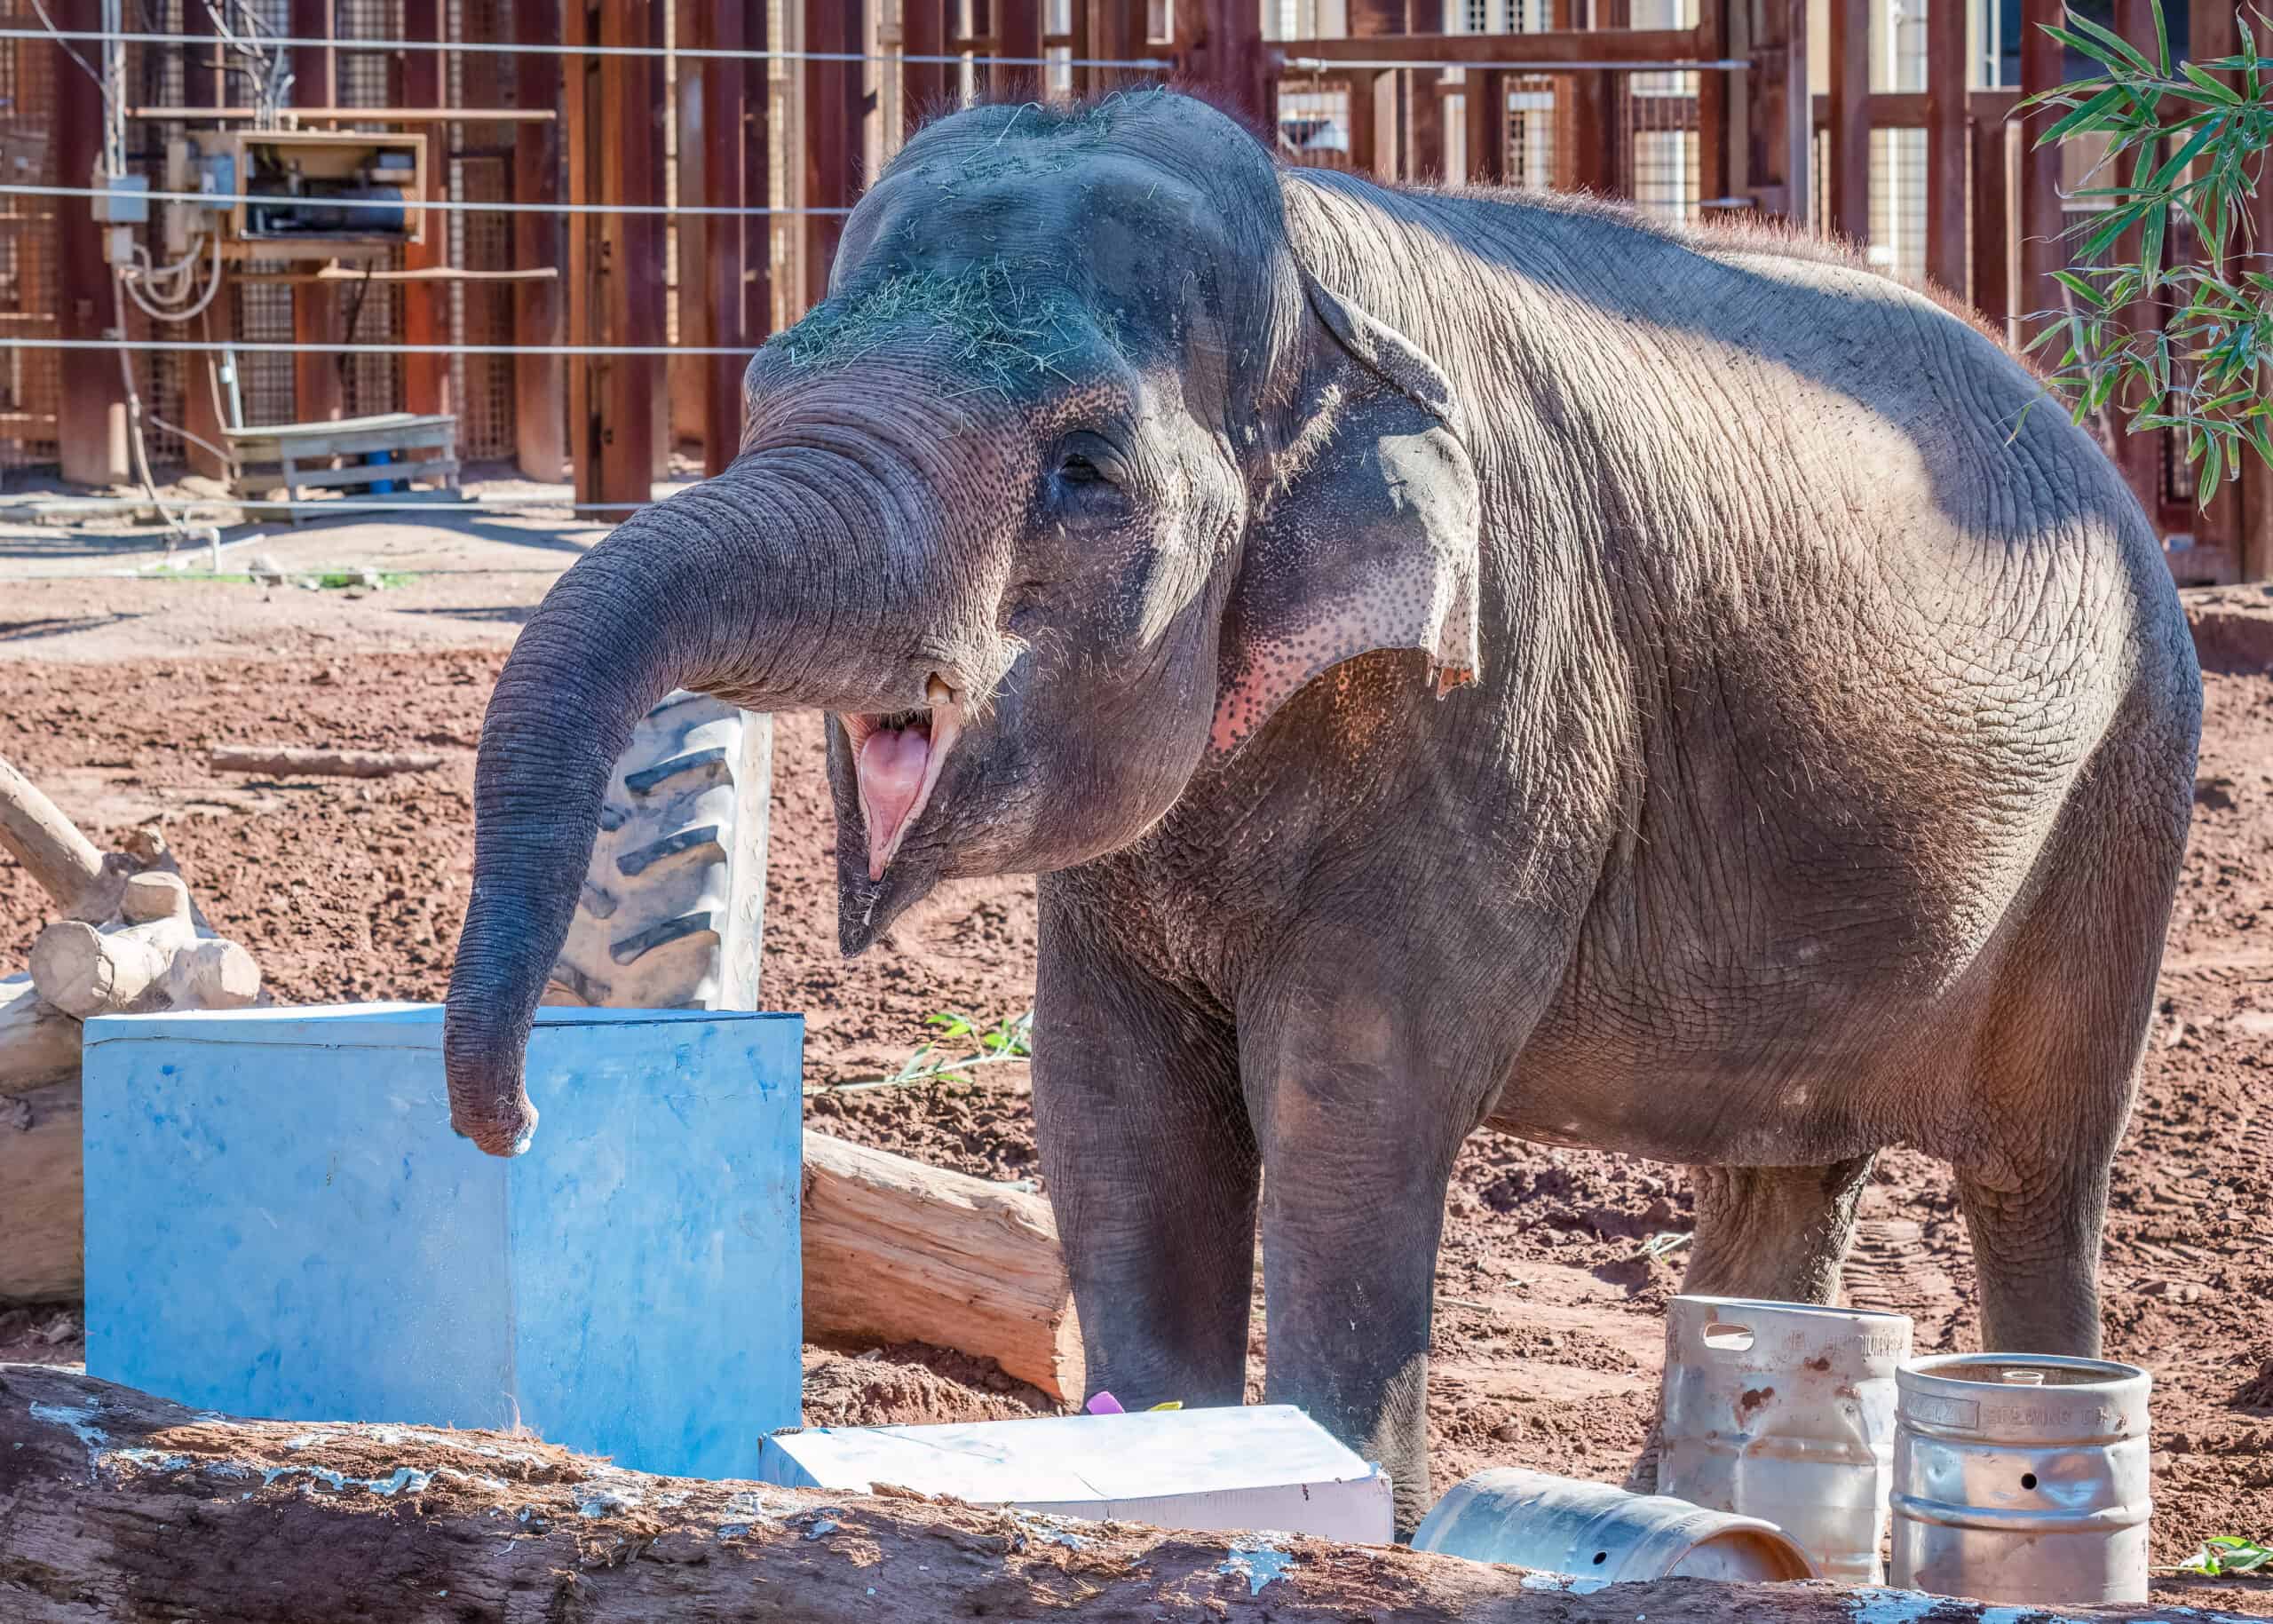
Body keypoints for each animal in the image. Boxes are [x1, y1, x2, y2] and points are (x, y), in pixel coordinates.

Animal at [443, 91, 2200, 1528]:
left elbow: (1347, 1102)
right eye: (764, 385)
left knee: (2035, 1175)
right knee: (1787, 1175)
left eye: (1083, 472)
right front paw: (1171, 1453)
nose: (516, 1121)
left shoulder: (1495, 705)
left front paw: (1359, 1503)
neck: (1319, 280)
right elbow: (1115, 1110)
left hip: (2126, 791)